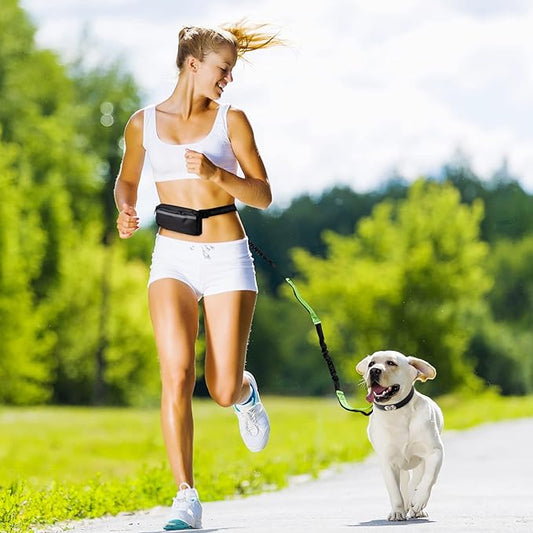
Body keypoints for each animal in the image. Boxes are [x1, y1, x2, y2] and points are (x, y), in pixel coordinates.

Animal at [358, 350, 444, 520]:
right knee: (404, 484)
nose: (374, 370)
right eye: (371, 363)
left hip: (420, 462)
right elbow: (394, 491)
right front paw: (397, 512)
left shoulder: (435, 451)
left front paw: (419, 501)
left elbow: (429, 478)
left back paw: (416, 506)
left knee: (416, 480)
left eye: (391, 363)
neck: (395, 411)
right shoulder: (387, 460)